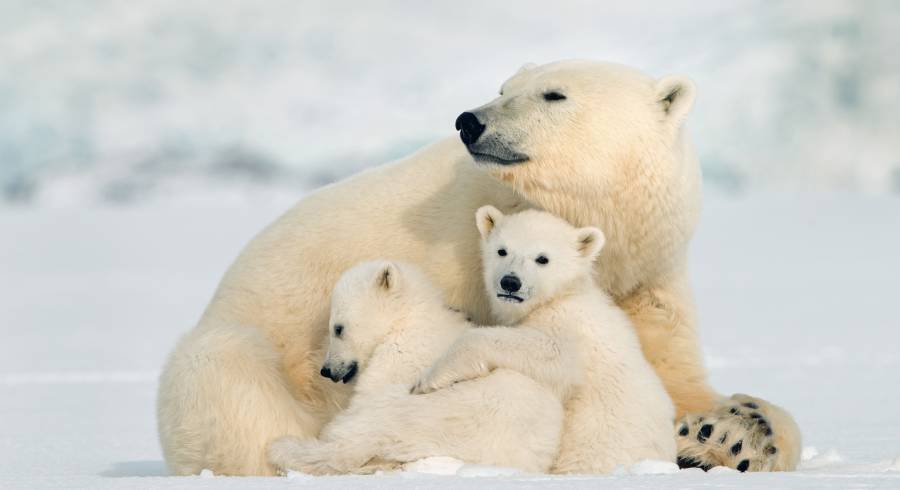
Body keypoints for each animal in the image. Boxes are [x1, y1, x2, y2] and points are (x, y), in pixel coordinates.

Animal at [414, 205, 676, 472]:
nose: (510, 282)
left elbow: (550, 352)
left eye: (542, 258)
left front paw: (429, 380)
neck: (561, 295)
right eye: (502, 250)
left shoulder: (569, 329)